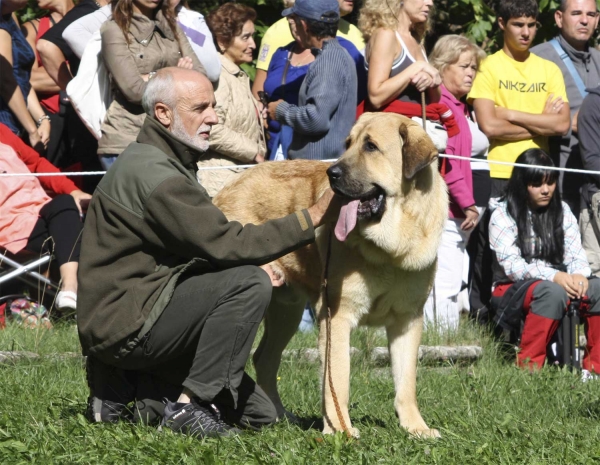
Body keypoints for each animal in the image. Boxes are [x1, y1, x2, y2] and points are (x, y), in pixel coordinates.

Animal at [213, 112, 448, 436]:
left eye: (371, 147)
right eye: (348, 144)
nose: (332, 173)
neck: (391, 248)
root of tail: (228, 185)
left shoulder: (407, 320)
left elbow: (406, 382)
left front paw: (417, 429)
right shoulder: (336, 317)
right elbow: (337, 379)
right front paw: (341, 431)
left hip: (286, 311)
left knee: (265, 359)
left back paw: (283, 418)